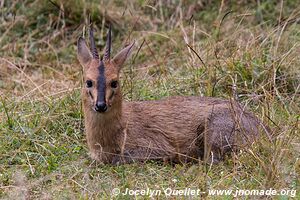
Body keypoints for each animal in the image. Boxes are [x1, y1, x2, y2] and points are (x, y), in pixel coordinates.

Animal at [77, 25, 268, 165]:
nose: (100, 105)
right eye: (88, 82)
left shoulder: (154, 147)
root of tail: (267, 132)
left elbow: (120, 159)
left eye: (114, 82)